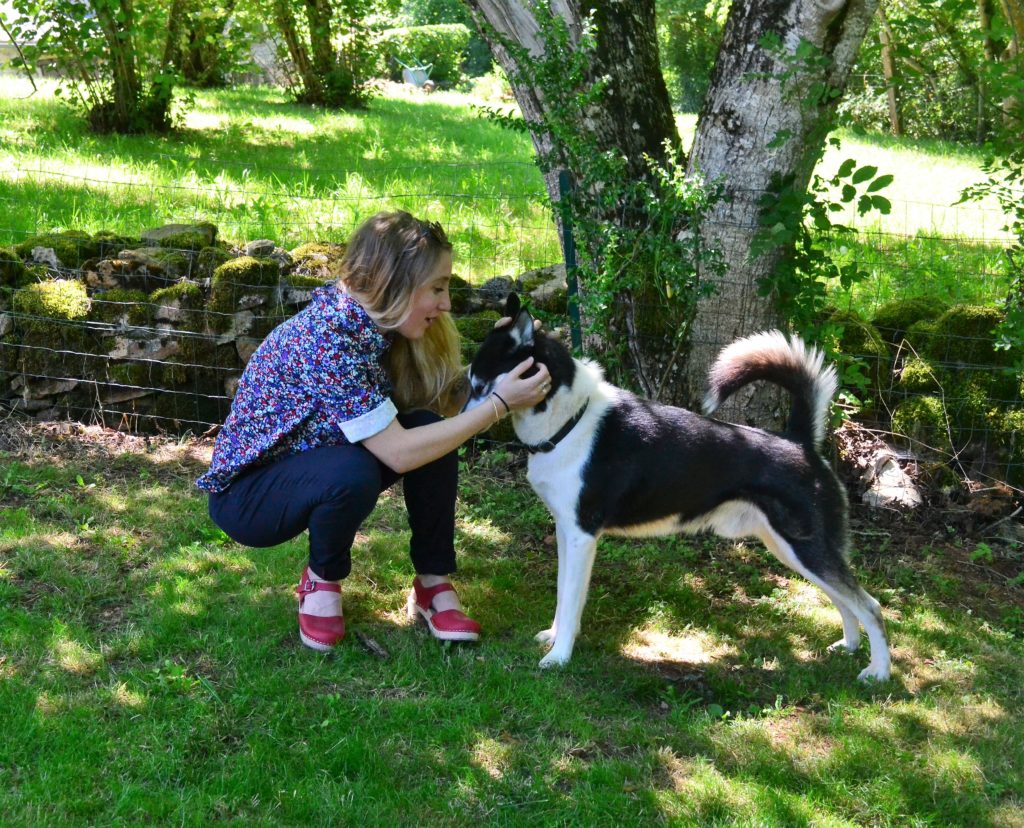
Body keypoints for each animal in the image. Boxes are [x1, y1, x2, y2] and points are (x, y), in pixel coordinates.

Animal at [464, 294, 888, 679]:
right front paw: (554, 638)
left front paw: (559, 657)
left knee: (870, 606)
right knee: (844, 600)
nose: (460, 424)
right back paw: (849, 646)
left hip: (807, 549)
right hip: (791, 549)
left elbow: (570, 604)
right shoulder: (566, 533)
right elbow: (563, 596)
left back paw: (878, 672)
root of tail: (799, 441)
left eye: (479, 385)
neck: (570, 422)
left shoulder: (582, 536)